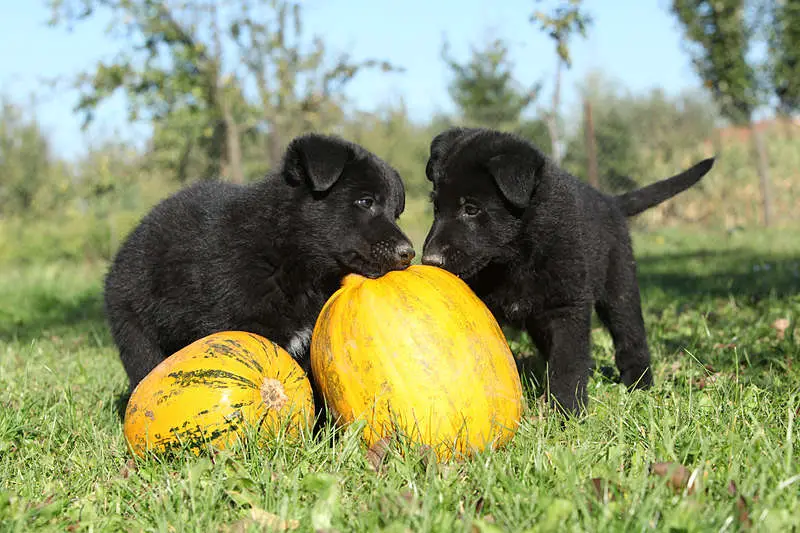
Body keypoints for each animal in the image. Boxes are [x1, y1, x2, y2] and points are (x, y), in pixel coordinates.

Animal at [422, 127, 716, 414]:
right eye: (436, 207)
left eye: (471, 209)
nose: (430, 259)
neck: (516, 258)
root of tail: (610, 202)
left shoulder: (567, 308)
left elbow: (567, 365)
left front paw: (567, 413)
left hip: (620, 287)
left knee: (630, 336)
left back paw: (639, 384)